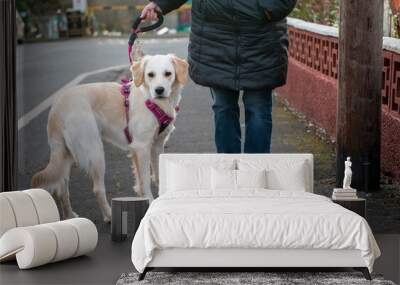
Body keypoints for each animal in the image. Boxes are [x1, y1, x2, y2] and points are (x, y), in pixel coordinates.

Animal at [32, 54, 188, 221]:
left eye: (168, 73)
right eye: (150, 75)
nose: (159, 90)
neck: (152, 101)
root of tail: (57, 109)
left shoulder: (157, 145)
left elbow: (157, 175)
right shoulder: (141, 147)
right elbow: (145, 180)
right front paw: (151, 202)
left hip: (65, 155)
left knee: (61, 190)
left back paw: (69, 216)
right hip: (95, 152)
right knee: (97, 189)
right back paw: (109, 215)